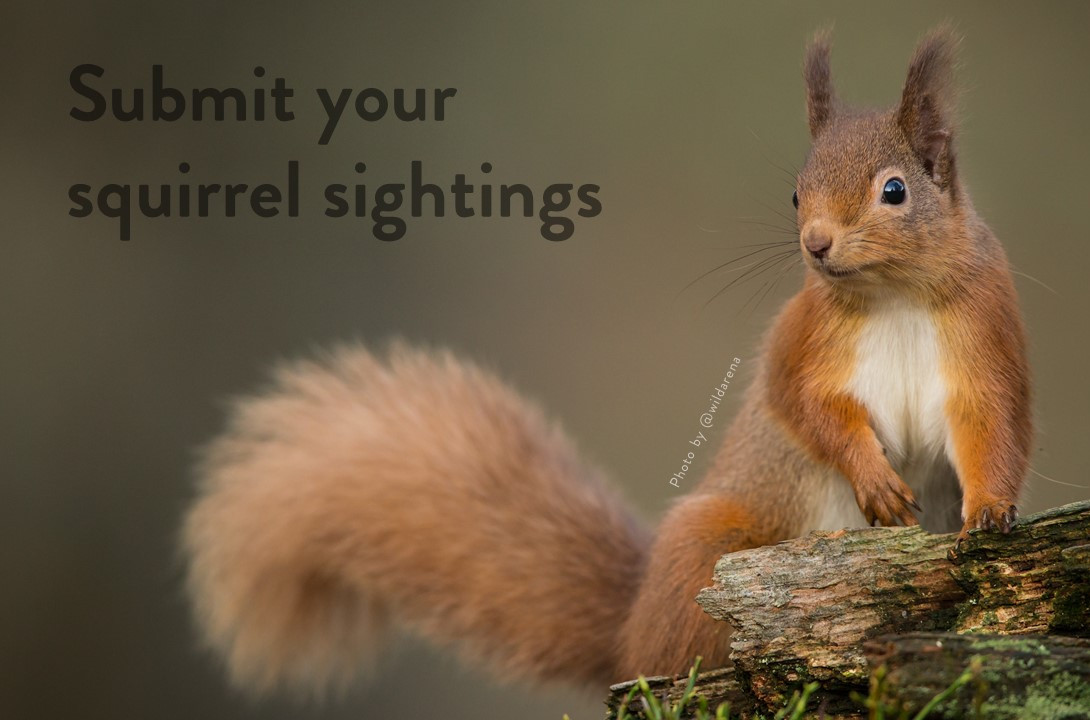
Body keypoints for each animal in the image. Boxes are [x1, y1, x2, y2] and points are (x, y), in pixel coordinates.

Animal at [182, 26, 1032, 698]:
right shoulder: (803, 343)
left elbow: (992, 423)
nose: (816, 245)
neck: (891, 298)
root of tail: (626, 634)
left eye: (895, 191)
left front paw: (989, 512)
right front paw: (875, 481)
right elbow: (804, 407)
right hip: (709, 551)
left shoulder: (985, 334)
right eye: (796, 194)